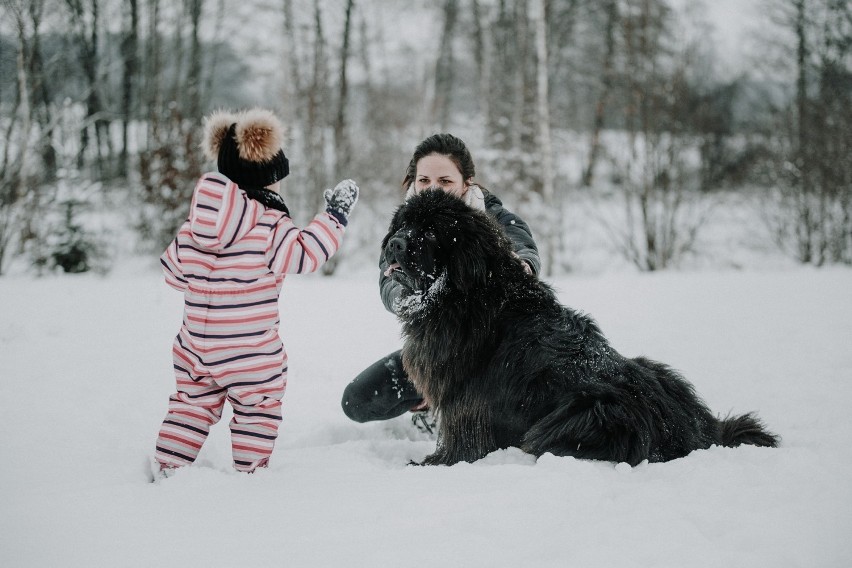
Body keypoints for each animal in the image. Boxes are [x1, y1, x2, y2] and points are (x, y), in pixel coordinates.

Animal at [382, 191, 780, 466]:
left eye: (431, 231)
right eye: (404, 224)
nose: (395, 242)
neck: (465, 293)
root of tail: (696, 433)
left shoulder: (465, 407)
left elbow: (458, 442)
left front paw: (426, 464)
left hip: (587, 413)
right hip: (659, 371)